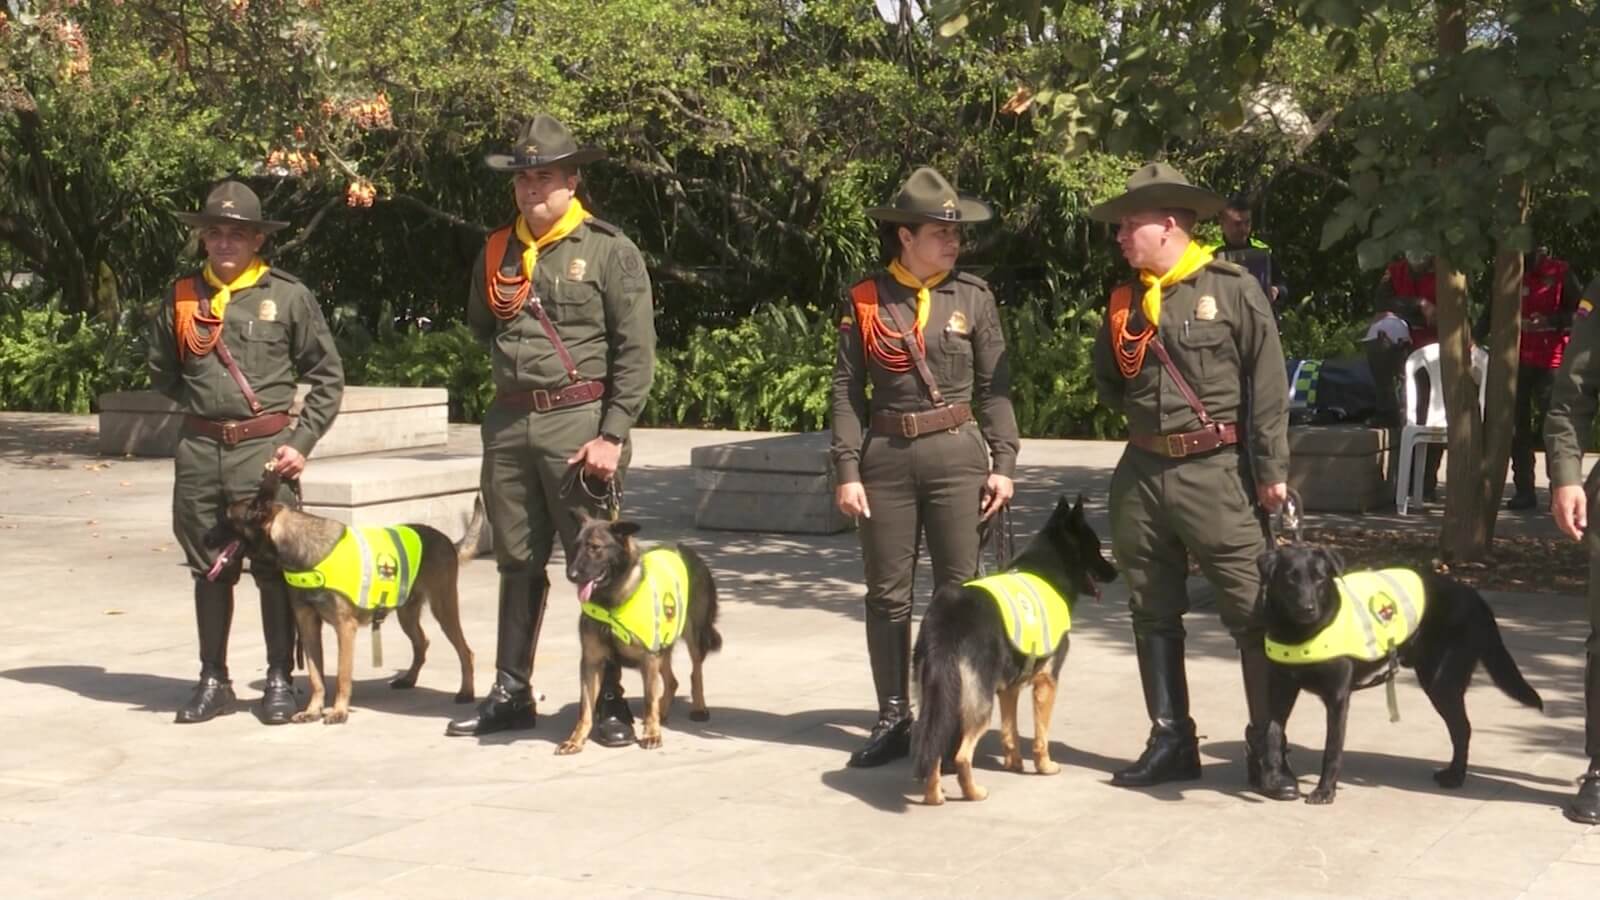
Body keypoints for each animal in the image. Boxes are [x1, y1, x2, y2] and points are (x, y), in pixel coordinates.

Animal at [908, 493, 1120, 800]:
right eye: (1096, 548)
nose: (1116, 572)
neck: (1048, 567)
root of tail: (947, 621)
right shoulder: (1047, 681)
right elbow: (1041, 734)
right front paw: (1045, 766)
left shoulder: (1009, 689)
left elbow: (1011, 732)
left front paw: (1014, 763)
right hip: (978, 704)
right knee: (962, 755)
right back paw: (973, 793)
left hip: (937, 698)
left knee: (934, 744)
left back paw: (934, 797)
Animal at [1260, 534, 1536, 800]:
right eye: (1290, 579)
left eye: (1319, 578)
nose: (1307, 609)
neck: (1299, 633)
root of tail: (1476, 597)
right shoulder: (1281, 689)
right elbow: (1272, 732)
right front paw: (1274, 776)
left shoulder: (1338, 697)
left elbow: (1332, 749)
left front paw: (1325, 791)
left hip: (1441, 683)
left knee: (1462, 729)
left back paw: (1455, 776)